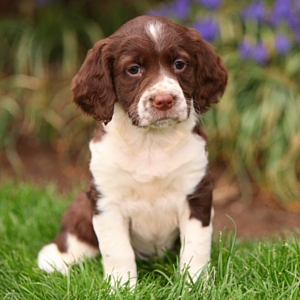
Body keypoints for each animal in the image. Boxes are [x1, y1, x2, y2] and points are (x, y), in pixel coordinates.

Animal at [37, 15, 227, 288]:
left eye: (180, 64)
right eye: (134, 69)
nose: (164, 100)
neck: (150, 143)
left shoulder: (197, 193)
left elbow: (196, 246)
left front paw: (196, 283)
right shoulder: (106, 198)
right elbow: (117, 249)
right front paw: (121, 287)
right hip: (84, 202)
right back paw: (56, 258)